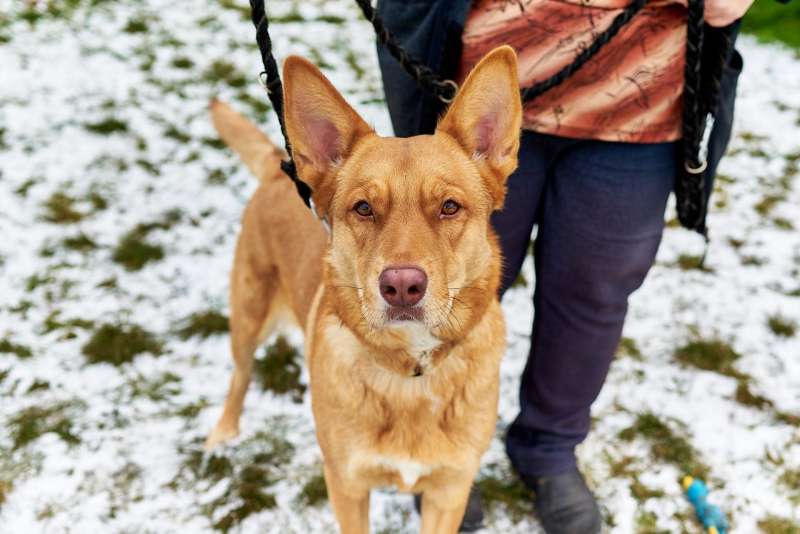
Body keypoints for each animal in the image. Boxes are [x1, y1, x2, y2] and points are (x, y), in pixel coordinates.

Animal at [205, 45, 522, 533]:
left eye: (450, 207)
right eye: (364, 208)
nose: (402, 286)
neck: (411, 373)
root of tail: (282, 168)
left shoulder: (449, 492)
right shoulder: (347, 484)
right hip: (247, 316)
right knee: (240, 374)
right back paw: (224, 431)